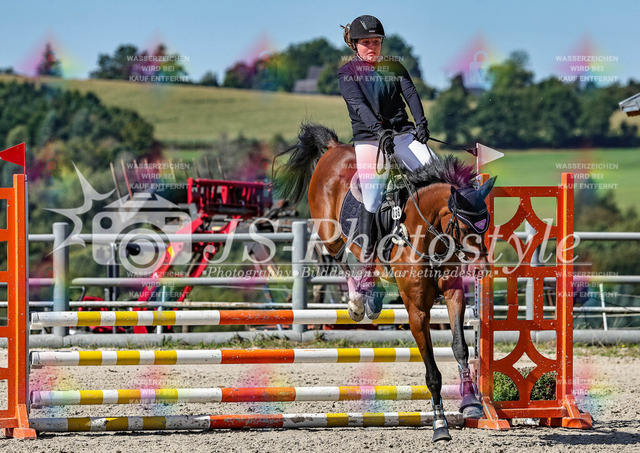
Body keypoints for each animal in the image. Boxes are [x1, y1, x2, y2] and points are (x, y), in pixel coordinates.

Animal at [274, 123, 496, 442]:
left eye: (486, 224)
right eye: (465, 227)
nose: (482, 270)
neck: (429, 235)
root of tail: (335, 148)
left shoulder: (454, 295)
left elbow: (461, 348)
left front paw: (471, 403)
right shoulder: (417, 311)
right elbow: (432, 372)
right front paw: (440, 425)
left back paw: (373, 300)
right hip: (329, 233)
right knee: (344, 260)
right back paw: (357, 303)